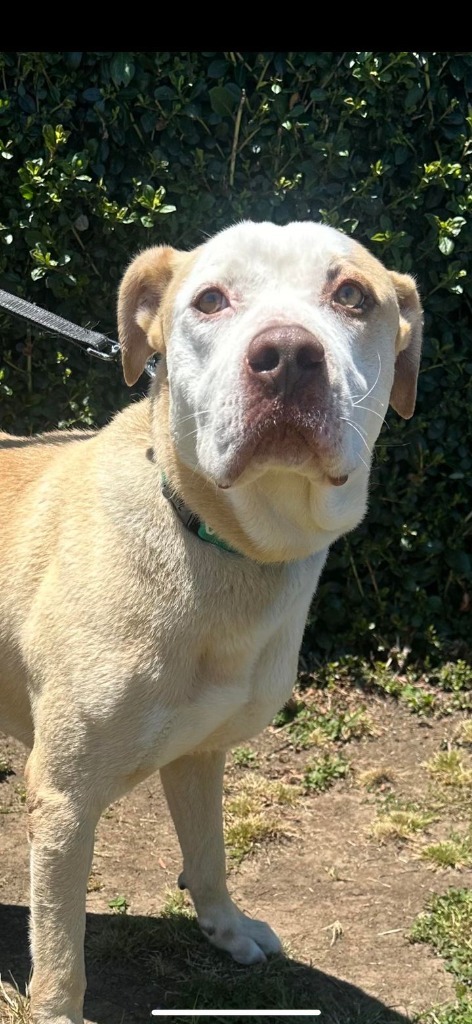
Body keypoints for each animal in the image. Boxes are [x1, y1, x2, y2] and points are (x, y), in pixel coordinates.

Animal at [0, 220, 421, 1019]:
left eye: (352, 294)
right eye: (210, 300)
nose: (286, 356)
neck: (226, 545)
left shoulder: (201, 752)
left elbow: (210, 852)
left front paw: (226, 928)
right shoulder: (64, 800)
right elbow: (60, 955)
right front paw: (57, 1006)